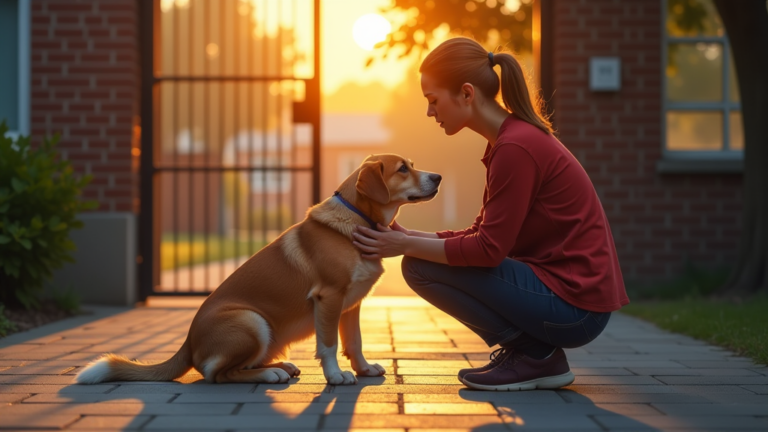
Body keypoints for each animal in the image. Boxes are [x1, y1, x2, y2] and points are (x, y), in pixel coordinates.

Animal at [77, 154, 440, 384]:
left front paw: (363, 370)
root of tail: (188, 343)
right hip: (252, 322)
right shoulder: (329, 298)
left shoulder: (351, 305)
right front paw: (336, 377)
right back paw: (270, 374)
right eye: (402, 169)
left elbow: (355, 343)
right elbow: (329, 345)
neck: (357, 219)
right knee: (217, 374)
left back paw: (280, 367)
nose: (437, 177)